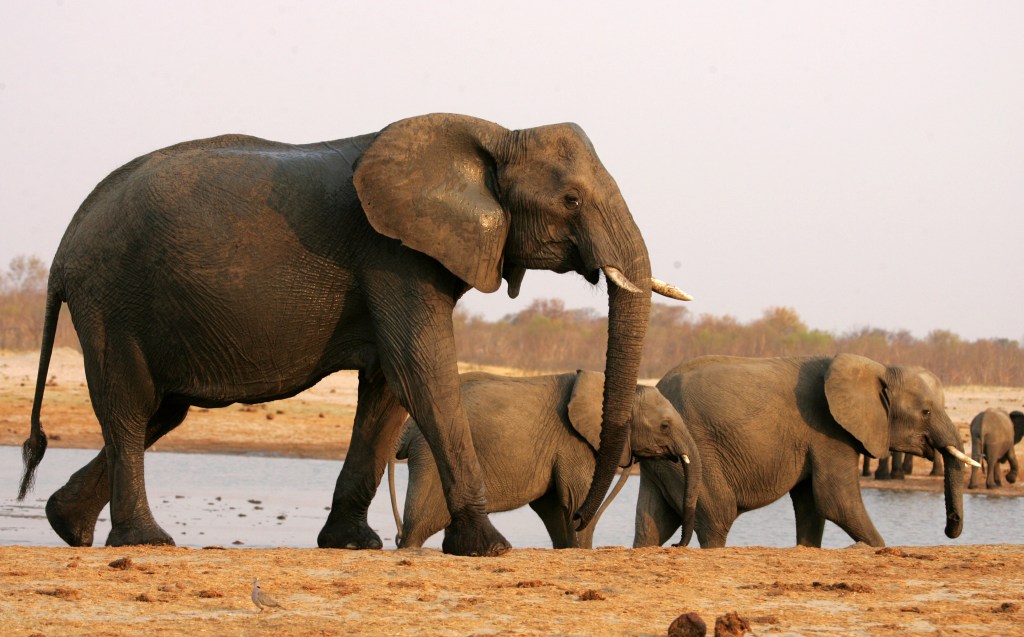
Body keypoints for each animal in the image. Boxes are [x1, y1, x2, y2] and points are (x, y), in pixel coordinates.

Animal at [387, 372, 700, 553]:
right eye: (664, 426)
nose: (677, 544)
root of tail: (407, 429)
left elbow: (556, 508)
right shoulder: (573, 443)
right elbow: (576, 501)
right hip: (429, 456)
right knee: (419, 524)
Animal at [634, 354, 978, 548]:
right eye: (926, 412)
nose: (950, 527)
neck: (878, 368)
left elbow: (812, 504)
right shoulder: (829, 430)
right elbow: (836, 500)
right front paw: (878, 545)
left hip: (664, 461)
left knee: (652, 525)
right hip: (698, 448)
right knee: (718, 516)